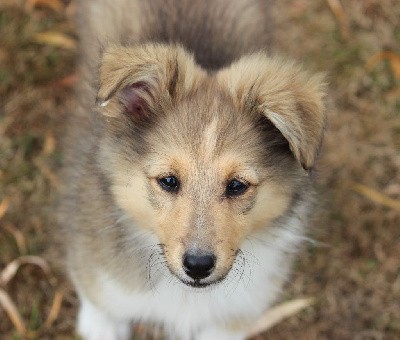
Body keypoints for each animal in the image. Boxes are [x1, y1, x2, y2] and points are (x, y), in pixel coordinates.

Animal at [57, 0, 326, 340]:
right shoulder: (102, 280)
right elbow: (100, 308)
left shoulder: (232, 318)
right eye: (169, 180)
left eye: (237, 185)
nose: (198, 266)